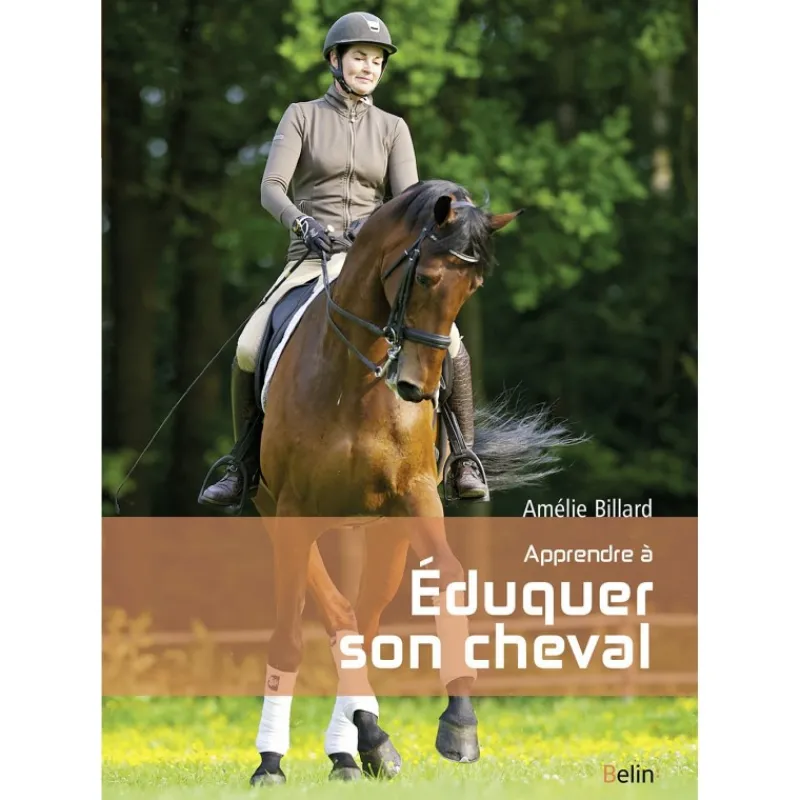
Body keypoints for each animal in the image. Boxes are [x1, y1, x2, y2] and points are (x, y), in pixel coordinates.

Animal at [245, 179, 577, 785]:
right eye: (424, 278)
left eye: (472, 287)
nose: (417, 388)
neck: (356, 376)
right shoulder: (293, 513)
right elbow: (292, 631)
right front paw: (271, 763)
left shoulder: (416, 499)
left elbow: (447, 580)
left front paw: (458, 727)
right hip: (280, 514)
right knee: (340, 617)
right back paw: (342, 743)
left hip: (386, 531)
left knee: (362, 623)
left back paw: (355, 749)